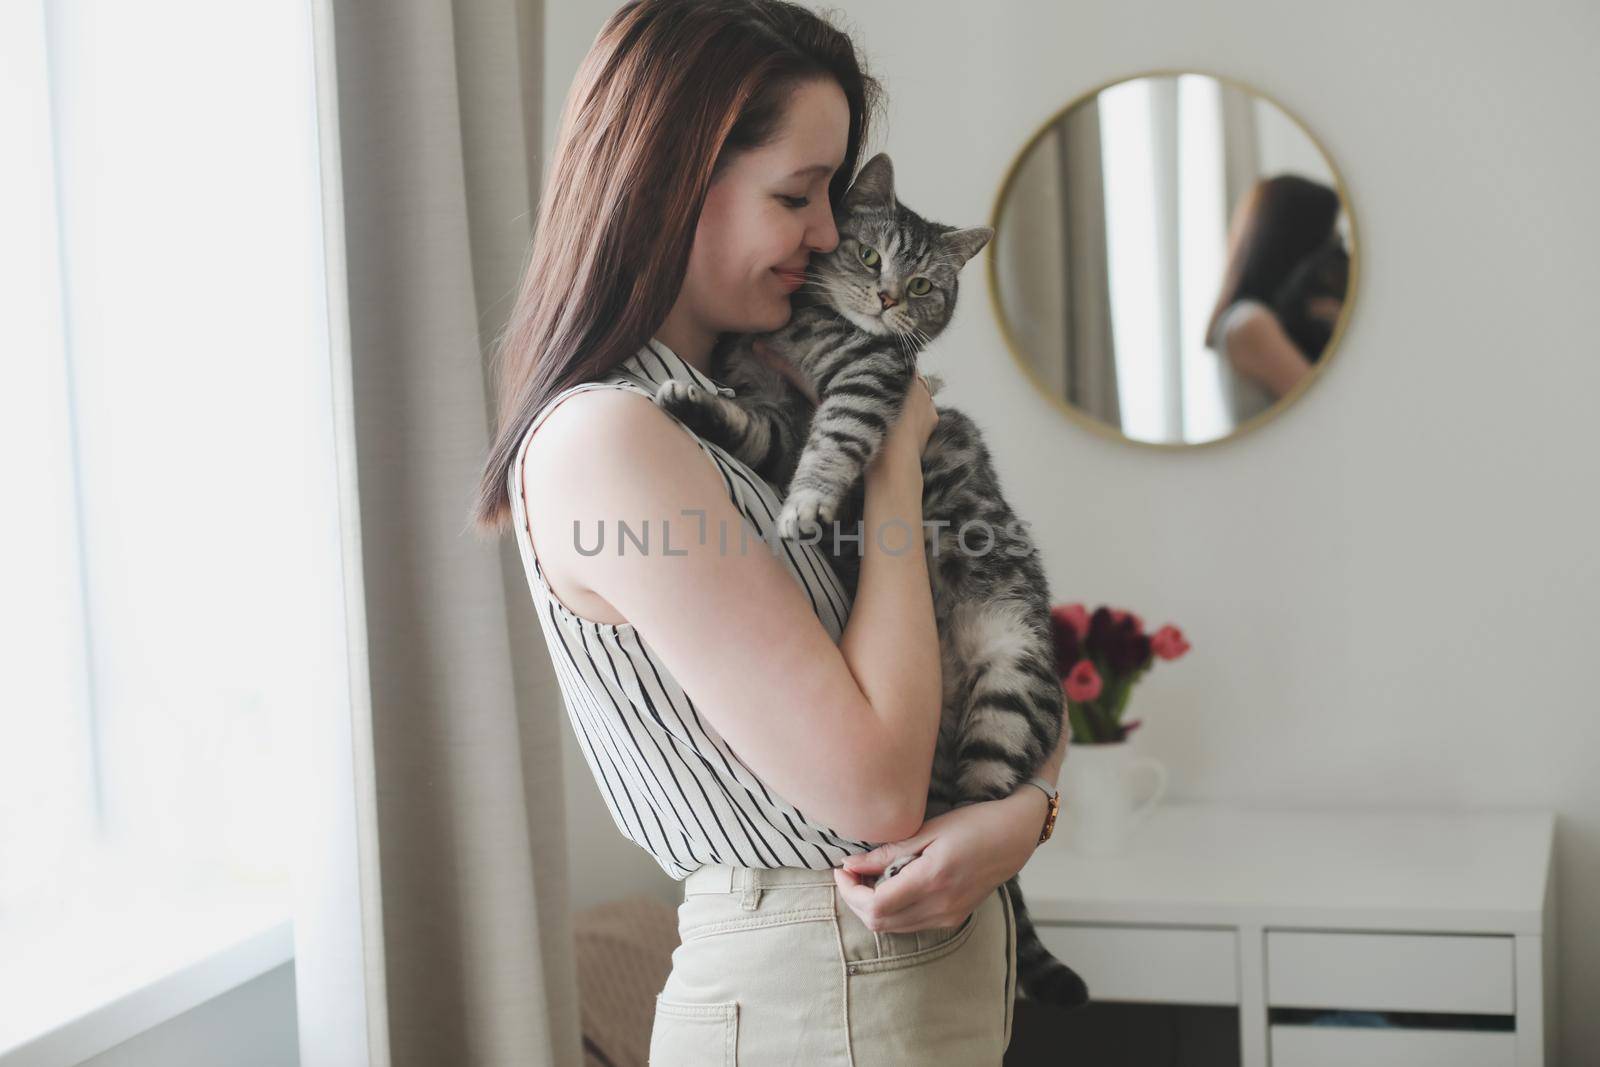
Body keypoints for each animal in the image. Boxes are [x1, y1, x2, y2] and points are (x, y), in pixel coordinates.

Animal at [649, 150, 1088, 1011]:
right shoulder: (777, 414)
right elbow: (750, 424)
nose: (887, 298)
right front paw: (693, 402)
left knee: (979, 821)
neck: (788, 330)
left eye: (921, 285)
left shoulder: (863, 377)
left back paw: (927, 857)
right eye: (865, 254)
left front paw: (808, 506)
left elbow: (837, 441)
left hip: (1012, 681)